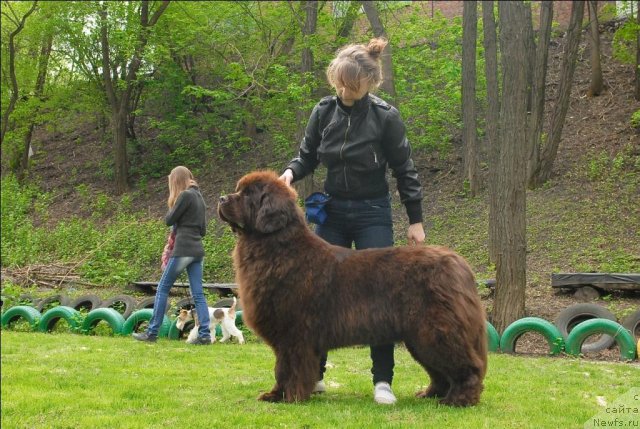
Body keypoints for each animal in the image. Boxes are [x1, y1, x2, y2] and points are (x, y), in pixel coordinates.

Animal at [218, 170, 488, 404]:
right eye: (238, 190)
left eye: (248, 195)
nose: (221, 198)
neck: (277, 248)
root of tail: (460, 263)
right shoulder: (285, 336)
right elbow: (280, 368)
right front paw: (275, 395)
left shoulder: (295, 332)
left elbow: (292, 367)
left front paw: (292, 397)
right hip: (419, 336)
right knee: (439, 372)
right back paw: (430, 394)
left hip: (436, 331)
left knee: (467, 366)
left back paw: (458, 399)